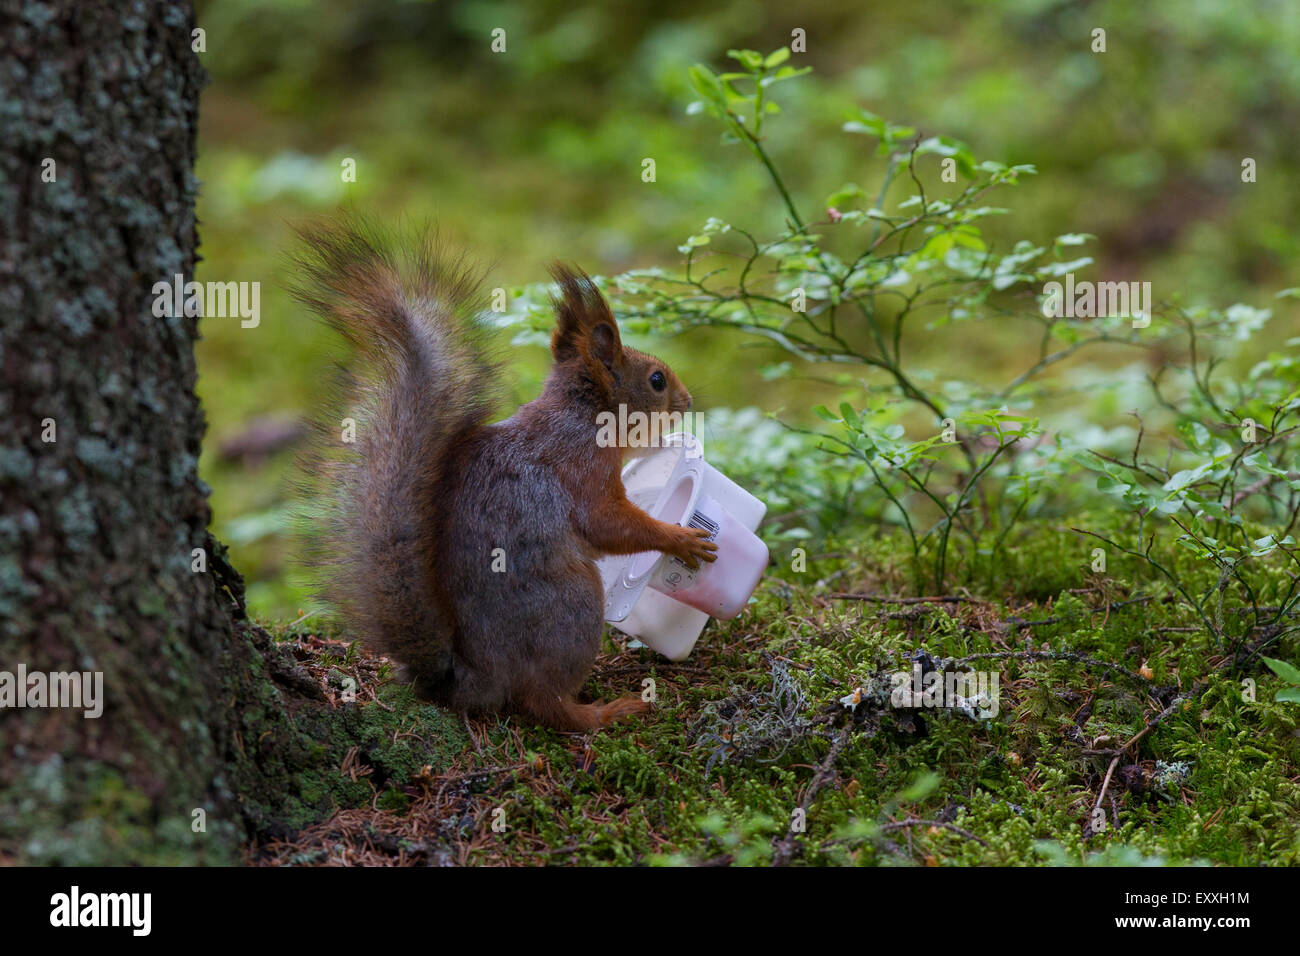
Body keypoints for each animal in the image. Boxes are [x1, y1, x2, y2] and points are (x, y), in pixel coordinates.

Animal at [293, 218, 717, 733]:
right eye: (657, 381)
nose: (689, 401)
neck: (582, 417)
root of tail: (472, 679)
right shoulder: (581, 469)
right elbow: (607, 524)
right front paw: (680, 538)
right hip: (575, 604)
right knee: (544, 703)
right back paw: (605, 712)